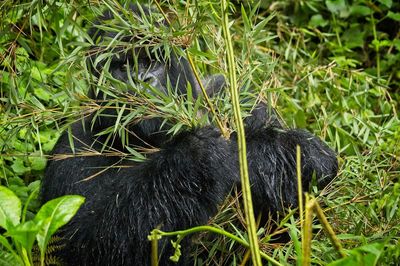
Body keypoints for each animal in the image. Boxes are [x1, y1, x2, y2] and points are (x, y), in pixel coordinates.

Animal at [40, 4, 338, 266]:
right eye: (122, 67)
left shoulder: (235, 96)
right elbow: (90, 246)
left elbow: (315, 161)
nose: (143, 81)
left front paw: (249, 151)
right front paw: (197, 155)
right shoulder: (73, 148)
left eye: (152, 61)